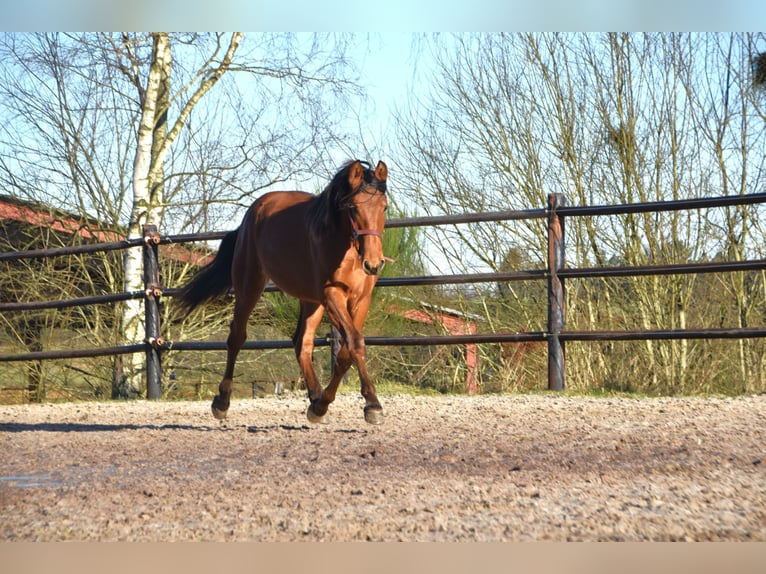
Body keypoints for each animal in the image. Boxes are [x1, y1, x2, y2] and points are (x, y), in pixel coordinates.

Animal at [176, 160, 390, 426]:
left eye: (384, 207)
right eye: (353, 207)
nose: (373, 264)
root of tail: (252, 214)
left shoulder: (361, 300)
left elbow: (346, 352)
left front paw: (325, 404)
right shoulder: (332, 294)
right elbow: (355, 343)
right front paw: (373, 404)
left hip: (310, 299)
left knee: (302, 342)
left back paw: (316, 400)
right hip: (250, 286)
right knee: (237, 337)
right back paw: (222, 403)